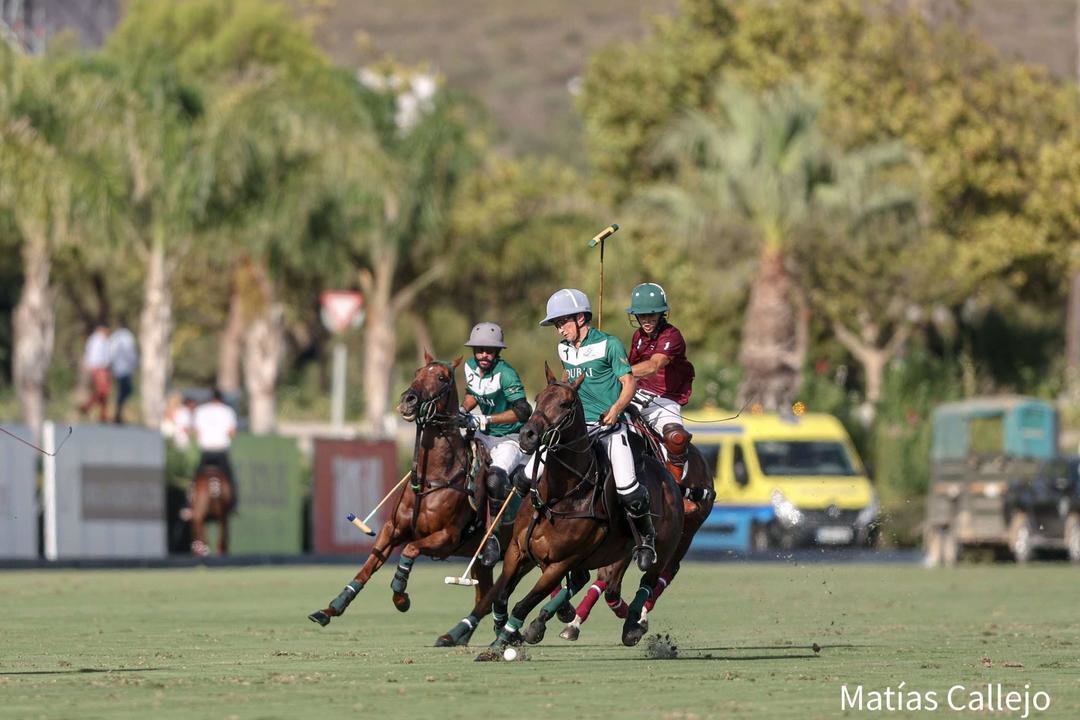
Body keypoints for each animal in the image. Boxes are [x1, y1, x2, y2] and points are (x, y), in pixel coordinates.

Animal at [308, 354, 501, 647]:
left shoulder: (447, 538)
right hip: (480, 560)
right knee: (486, 595)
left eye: (442, 377)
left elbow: (410, 550)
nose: (408, 399)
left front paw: (401, 597)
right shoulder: (393, 528)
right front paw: (331, 608)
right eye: (417, 372)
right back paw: (461, 635)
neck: (434, 476)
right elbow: (368, 565)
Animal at [466, 367, 682, 651]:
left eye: (565, 404)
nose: (527, 435)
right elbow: (501, 596)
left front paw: (501, 643)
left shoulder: (561, 562)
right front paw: (505, 632)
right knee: (596, 584)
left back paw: (633, 624)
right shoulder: (518, 550)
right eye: (539, 397)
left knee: (646, 579)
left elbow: (523, 604)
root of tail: (667, 475)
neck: (558, 496)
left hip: (663, 547)